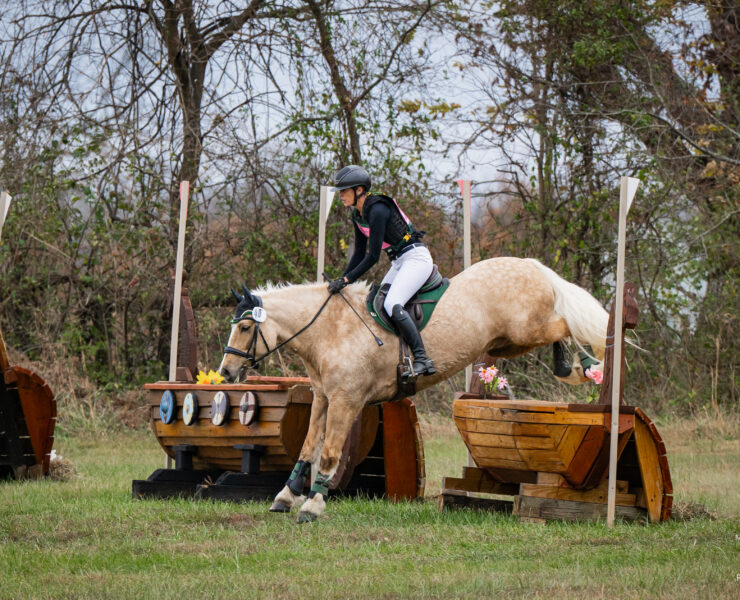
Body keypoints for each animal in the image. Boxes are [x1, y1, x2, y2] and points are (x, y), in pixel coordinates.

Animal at [218, 257, 608, 522]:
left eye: (245, 328)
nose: (225, 371)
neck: (329, 330)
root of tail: (528, 264)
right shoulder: (324, 398)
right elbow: (308, 447)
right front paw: (286, 497)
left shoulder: (346, 401)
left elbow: (328, 453)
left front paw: (312, 506)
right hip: (507, 344)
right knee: (558, 330)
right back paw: (572, 367)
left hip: (524, 330)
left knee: (565, 324)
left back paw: (587, 366)